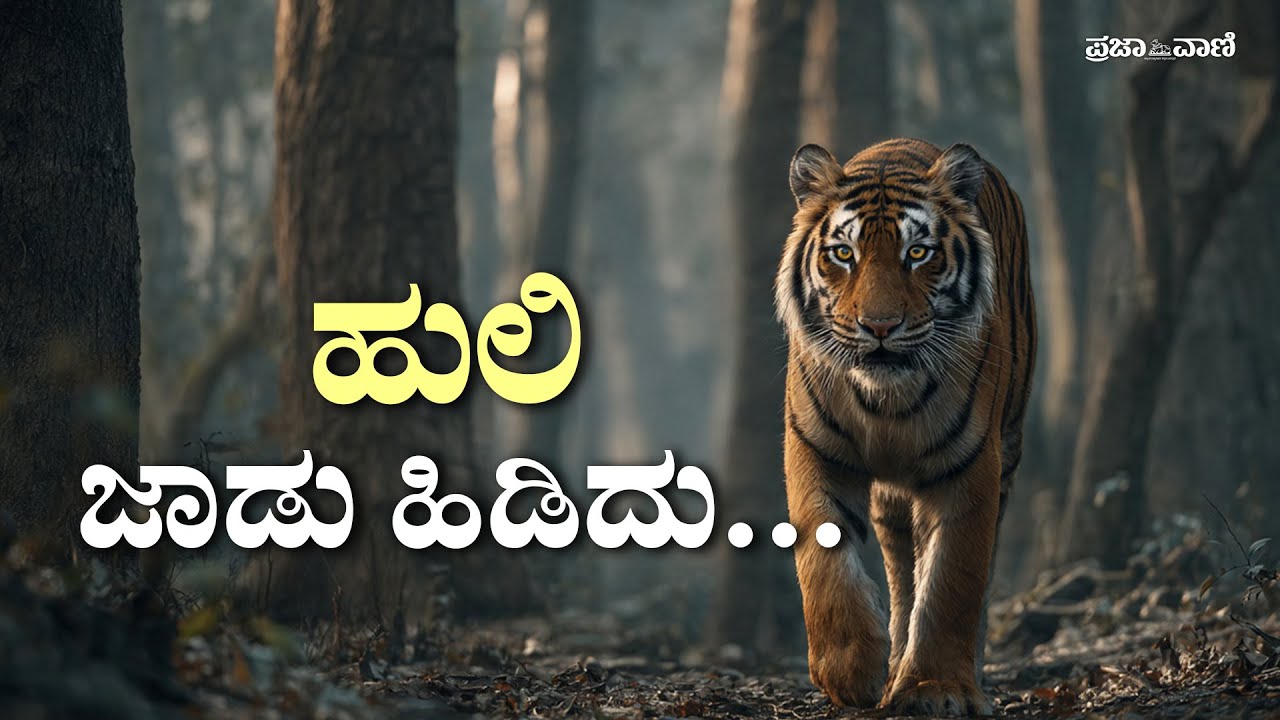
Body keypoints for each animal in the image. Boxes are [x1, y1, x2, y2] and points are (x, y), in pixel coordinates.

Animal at [775, 137, 1035, 716]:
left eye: (918, 254)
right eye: (842, 254)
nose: (879, 326)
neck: (886, 401)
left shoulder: (969, 466)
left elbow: (952, 580)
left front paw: (937, 688)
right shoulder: (814, 451)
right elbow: (823, 566)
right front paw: (851, 674)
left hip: (1008, 449)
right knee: (900, 569)